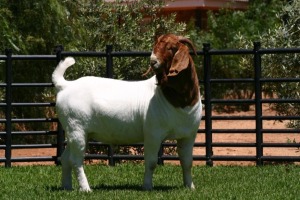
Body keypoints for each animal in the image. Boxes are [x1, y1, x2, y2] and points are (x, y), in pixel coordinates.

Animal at [52, 33, 203, 191]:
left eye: (171, 47)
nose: (153, 61)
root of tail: (66, 85)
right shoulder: (153, 134)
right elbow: (151, 162)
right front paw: (147, 187)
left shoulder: (189, 135)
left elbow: (187, 162)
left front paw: (190, 187)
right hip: (76, 128)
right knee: (75, 160)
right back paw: (86, 189)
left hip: (78, 132)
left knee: (65, 158)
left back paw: (67, 187)